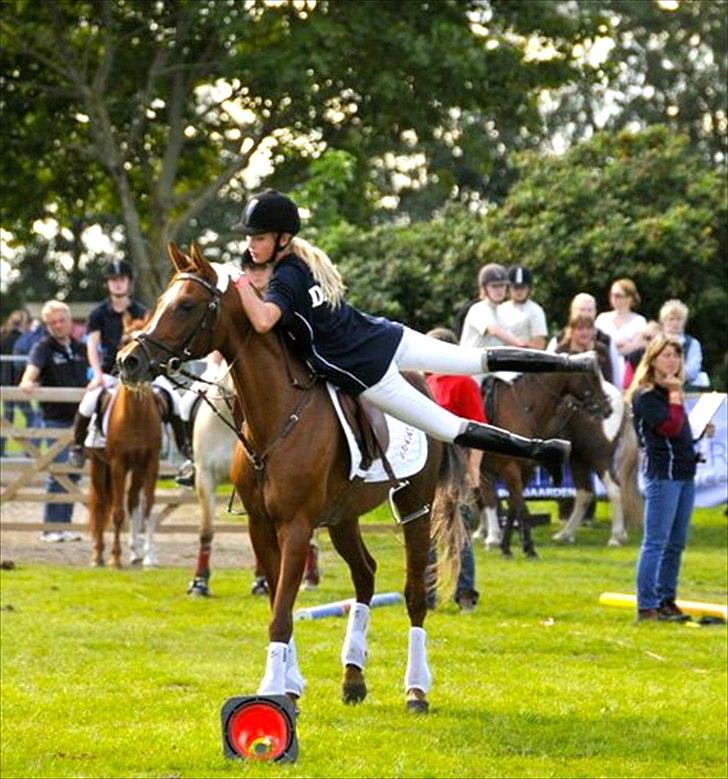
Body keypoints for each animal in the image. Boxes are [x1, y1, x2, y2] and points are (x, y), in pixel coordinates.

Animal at [86, 316, 164, 568]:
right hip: (99, 467)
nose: (129, 362)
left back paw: (136, 552)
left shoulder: (150, 464)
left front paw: (149, 555)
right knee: (101, 505)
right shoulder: (118, 464)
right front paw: (114, 558)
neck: (135, 416)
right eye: (123, 339)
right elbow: (117, 513)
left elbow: (147, 509)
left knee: (132, 502)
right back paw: (98, 554)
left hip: (136, 469)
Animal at [478, 370, 616, 556]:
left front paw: (513, 546)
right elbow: (515, 505)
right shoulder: (509, 469)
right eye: (593, 377)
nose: (607, 408)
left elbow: (514, 506)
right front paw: (514, 545)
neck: (522, 408)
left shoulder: (520, 470)